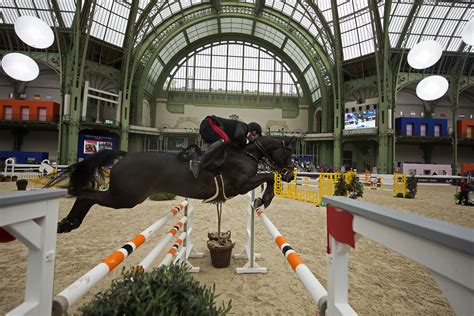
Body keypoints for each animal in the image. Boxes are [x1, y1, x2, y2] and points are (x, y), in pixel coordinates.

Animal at [47, 136, 292, 232]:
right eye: (288, 152)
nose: (290, 174)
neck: (246, 154)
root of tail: (125, 156)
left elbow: (268, 177)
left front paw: (263, 199)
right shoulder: (241, 184)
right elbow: (268, 176)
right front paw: (264, 199)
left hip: (124, 197)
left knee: (87, 196)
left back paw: (68, 224)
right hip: (125, 197)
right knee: (86, 195)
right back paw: (68, 223)